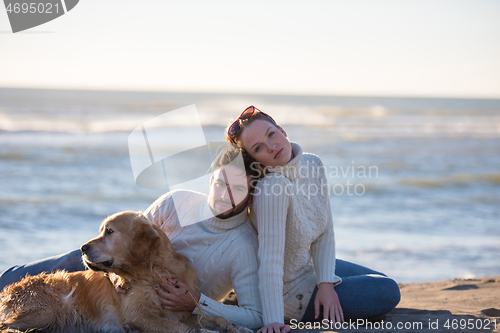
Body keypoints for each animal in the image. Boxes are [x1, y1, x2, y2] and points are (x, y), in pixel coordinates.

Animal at [0, 211, 252, 330]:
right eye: (101, 230)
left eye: (109, 231)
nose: (82, 248)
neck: (154, 272)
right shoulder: (140, 315)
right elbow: (179, 328)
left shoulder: (178, 310)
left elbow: (214, 317)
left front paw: (231, 326)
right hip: (50, 309)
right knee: (7, 325)